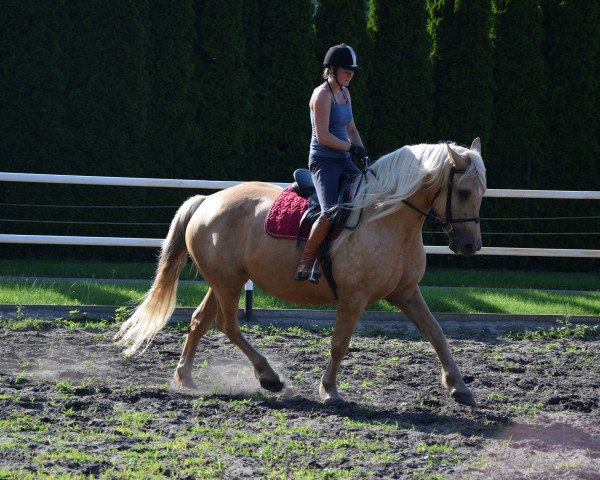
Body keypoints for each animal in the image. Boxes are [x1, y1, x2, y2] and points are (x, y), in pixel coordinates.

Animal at [115, 138, 486, 404]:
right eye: (463, 191)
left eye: (482, 192)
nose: (471, 246)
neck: (386, 218)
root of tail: (207, 202)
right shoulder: (354, 297)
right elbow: (339, 342)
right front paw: (330, 390)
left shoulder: (406, 293)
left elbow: (436, 333)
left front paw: (459, 387)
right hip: (227, 284)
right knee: (226, 324)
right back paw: (268, 377)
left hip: (223, 282)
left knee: (199, 321)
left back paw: (185, 377)